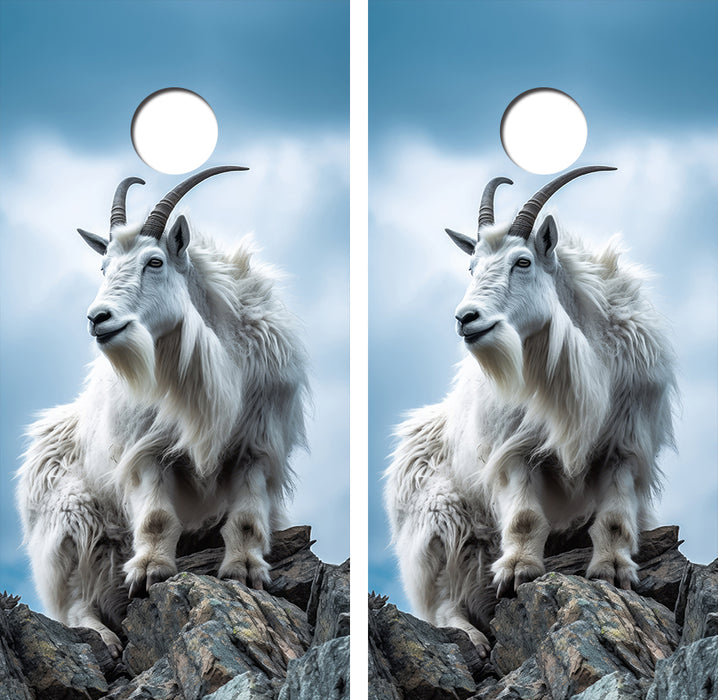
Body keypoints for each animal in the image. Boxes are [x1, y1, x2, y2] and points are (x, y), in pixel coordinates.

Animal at [16, 166, 309, 657]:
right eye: (103, 266)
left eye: (154, 262)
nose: (98, 318)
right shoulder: (145, 449)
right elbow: (156, 516)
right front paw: (150, 572)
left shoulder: (256, 444)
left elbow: (247, 518)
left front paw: (246, 571)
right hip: (70, 522)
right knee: (77, 597)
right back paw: (101, 635)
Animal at [384, 166, 677, 656]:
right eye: (471, 266)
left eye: (522, 262)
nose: (466, 318)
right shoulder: (513, 449)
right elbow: (524, 516)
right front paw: (518, 572)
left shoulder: (625, 443)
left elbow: (615, 518)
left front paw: (614, 571)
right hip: (438, 521)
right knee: (444, 596)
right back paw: (469, 634)